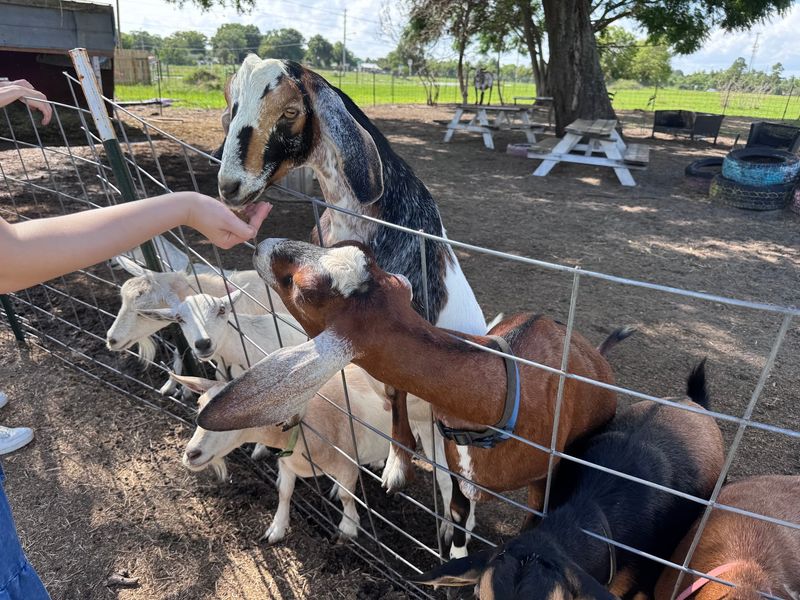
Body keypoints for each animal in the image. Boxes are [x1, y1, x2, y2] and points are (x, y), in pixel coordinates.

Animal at [174, 367, 395, 543]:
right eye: (199, 404)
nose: (191, 454)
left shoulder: (347, 462)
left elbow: (346, 496)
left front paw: (348, 528)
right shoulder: (287, 462)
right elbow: (284, 492)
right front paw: (276, 529)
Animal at [197, 239, 632, 558]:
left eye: (299, 288)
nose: (263, 244)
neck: (499, 394)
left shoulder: (544, 481)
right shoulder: (457, 467)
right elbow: (456, 513)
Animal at [213, 55, 489, 555]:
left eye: (289, 112)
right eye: (233, 103)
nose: (230, 186)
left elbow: (397, 389)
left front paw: (396, 470)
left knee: (459, 492)